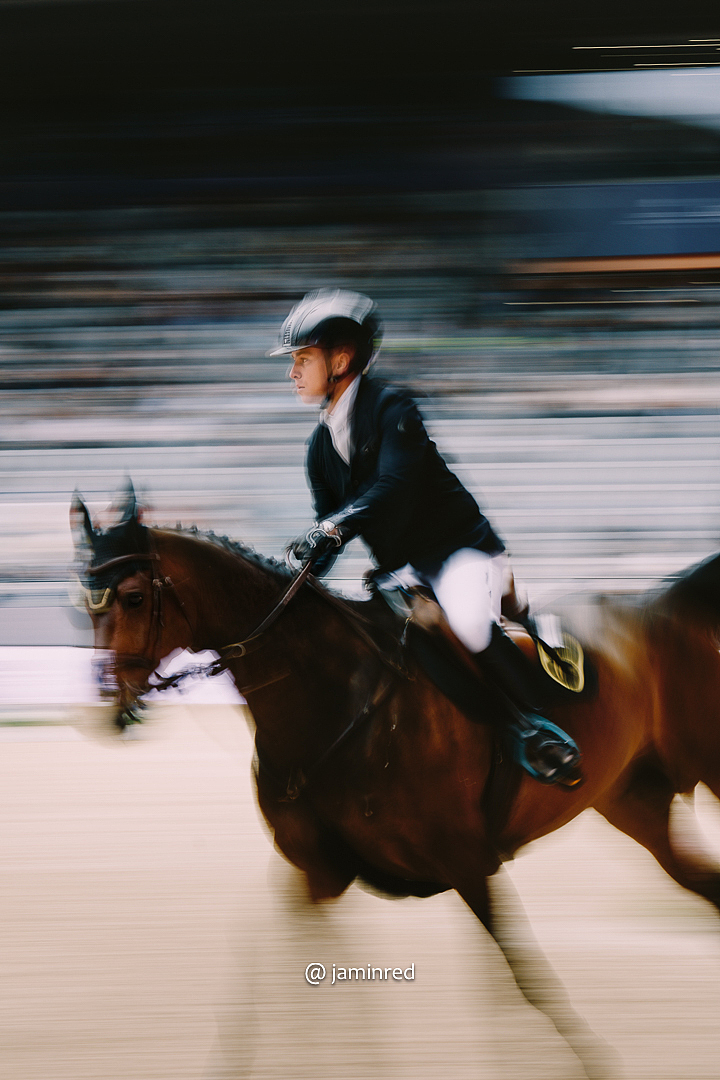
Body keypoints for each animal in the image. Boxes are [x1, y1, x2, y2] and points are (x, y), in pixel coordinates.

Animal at [71, 486, 720, 1079]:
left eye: (132, 597)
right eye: (86, 602)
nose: (108, 705)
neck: (330, 699)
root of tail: (665, 600)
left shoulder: (467, 862)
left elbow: (520, 982)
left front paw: (589, 1062)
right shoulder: (320, 872)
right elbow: (269, 972)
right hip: (636, 800)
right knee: (701, 881)